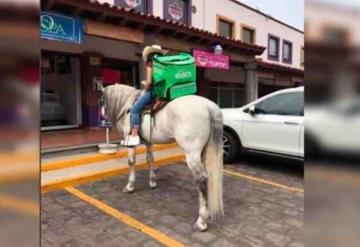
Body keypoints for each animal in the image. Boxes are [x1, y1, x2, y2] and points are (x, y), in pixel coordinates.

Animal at [100, 84, 222, 231]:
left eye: (102, 100)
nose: (102, 115)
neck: (128, 105)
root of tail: (208, 106)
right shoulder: (149, 142)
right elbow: (150, 159)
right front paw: (152, 182)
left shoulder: (130, 144)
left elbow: (131, 162)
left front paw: (130, 186)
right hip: (203, 151)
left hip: (192, 154)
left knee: (201, 179)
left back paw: (201, 221)